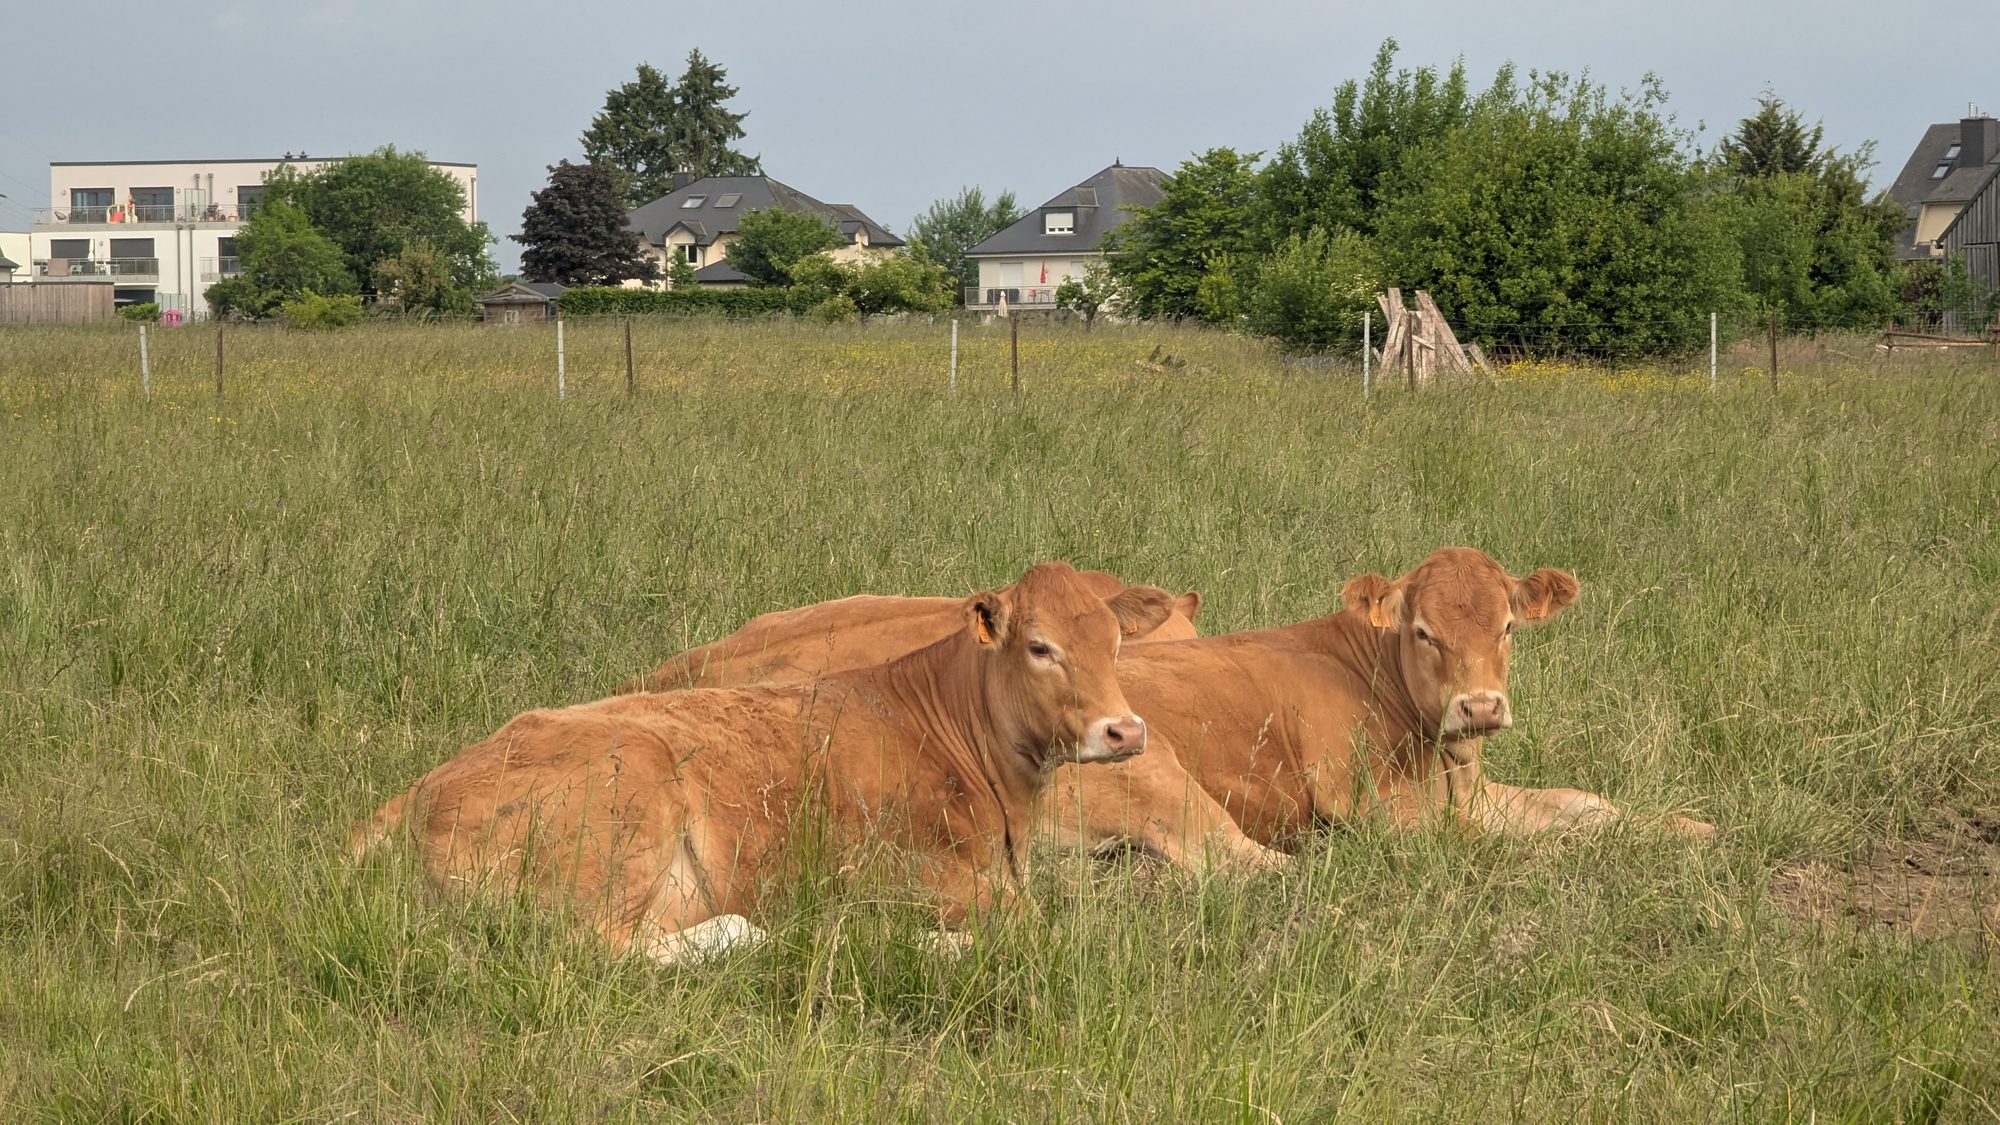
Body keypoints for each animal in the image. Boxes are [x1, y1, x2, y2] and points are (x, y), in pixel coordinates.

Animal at [350, 562, 1176, 964]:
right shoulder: (895, 867)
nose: (1125, 729)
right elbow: (1029, 923)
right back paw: (754, 936)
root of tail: (414, 792)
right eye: (1039, 645)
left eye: (1114, 640)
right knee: (597, 946)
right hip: (623, 812)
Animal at [1112, 547, 1714, 844]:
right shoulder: (1373, 805)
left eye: (1508, 627)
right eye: (1424, 632)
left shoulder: (1476, 792)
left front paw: (1689, 828)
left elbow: (1582, 802)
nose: (1480, 706)